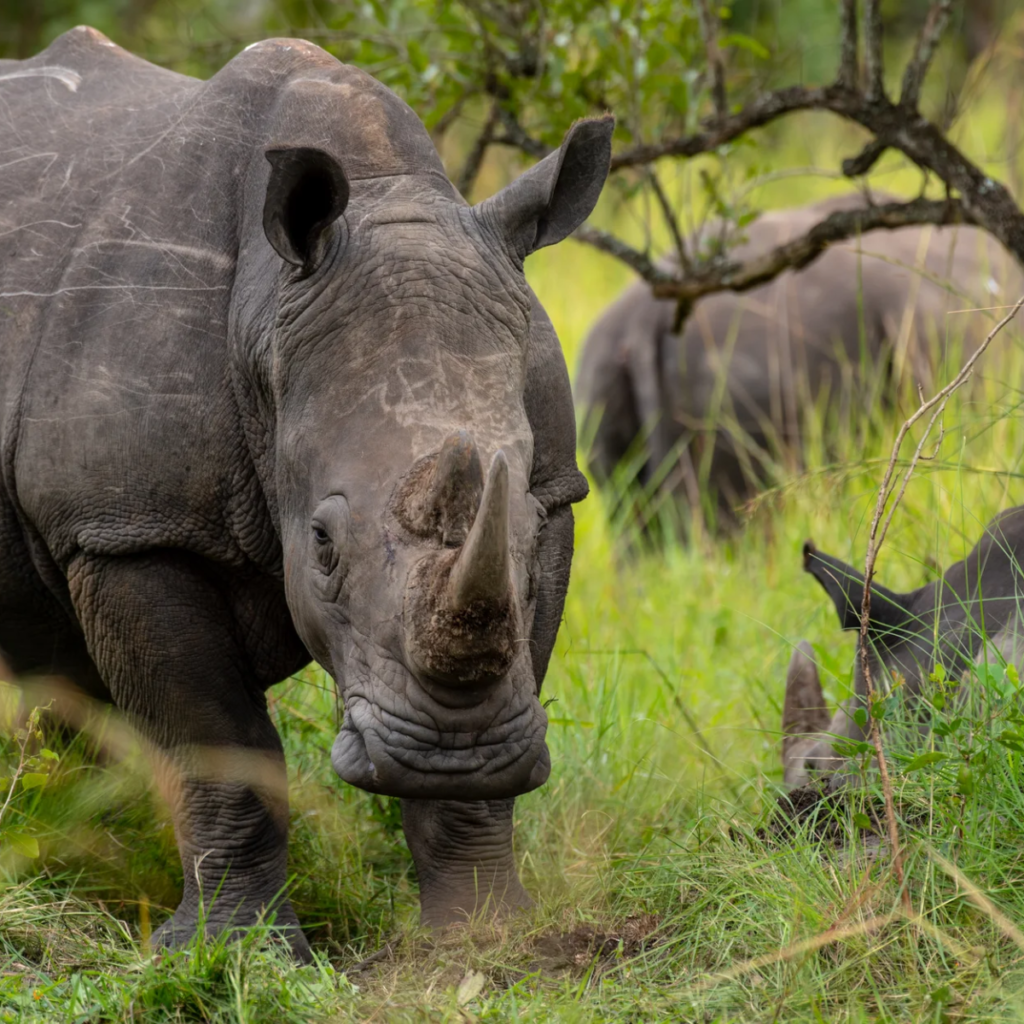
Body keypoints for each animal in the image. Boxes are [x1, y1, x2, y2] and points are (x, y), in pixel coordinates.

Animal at [0, 27, 613, 960]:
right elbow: (223, 742)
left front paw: (483, 937)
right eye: (321, 546)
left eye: (524, 528)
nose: (448, 753)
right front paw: (231, 952)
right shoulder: (128, 526)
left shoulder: (556, 492)